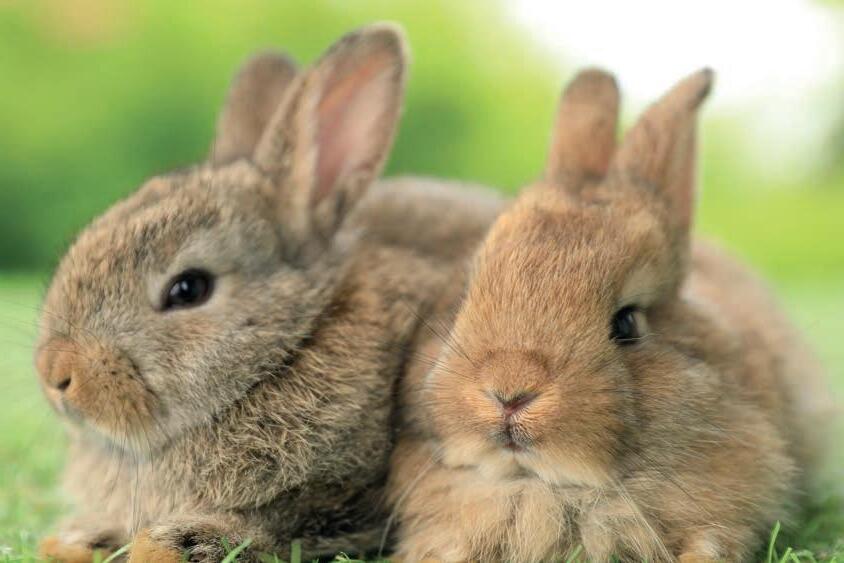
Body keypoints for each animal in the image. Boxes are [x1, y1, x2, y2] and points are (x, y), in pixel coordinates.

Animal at [34, 23, 503, 563]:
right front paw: (79, 536)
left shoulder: (360, 492)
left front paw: (179, 541)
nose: (55, 373)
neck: (291, 347)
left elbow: (288, 526)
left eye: (188, 289)